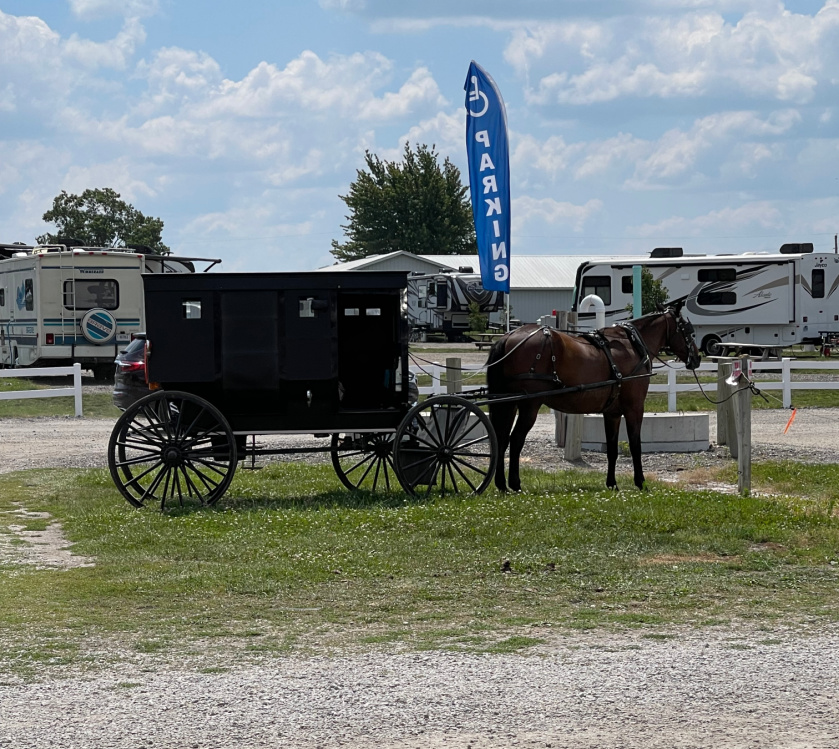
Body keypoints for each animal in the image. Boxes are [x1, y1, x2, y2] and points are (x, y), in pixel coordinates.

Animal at [486, 300, 704, 494]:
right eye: (688, 330)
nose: (697, 358)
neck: (632, 346)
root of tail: (509, 336)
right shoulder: (634, 408)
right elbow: (635, 445)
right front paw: (641, 482)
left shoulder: (612, 413)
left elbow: (612, 449)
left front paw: (612, 484)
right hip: (529, 404)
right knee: (515, 439)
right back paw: (515, 484)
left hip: (509, 404)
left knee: (501, 439)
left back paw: (501, 484)